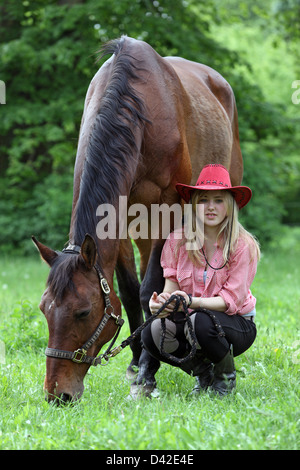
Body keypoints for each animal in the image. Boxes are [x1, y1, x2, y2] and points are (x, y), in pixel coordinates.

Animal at [32, 35, 244, 404]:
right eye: (45, 309)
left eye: (83, 312)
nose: (58, 395)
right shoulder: (118, 220)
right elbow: (130, 292)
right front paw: (135, 362)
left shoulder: (167, 209)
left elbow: (149, 292)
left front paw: (147, 372)